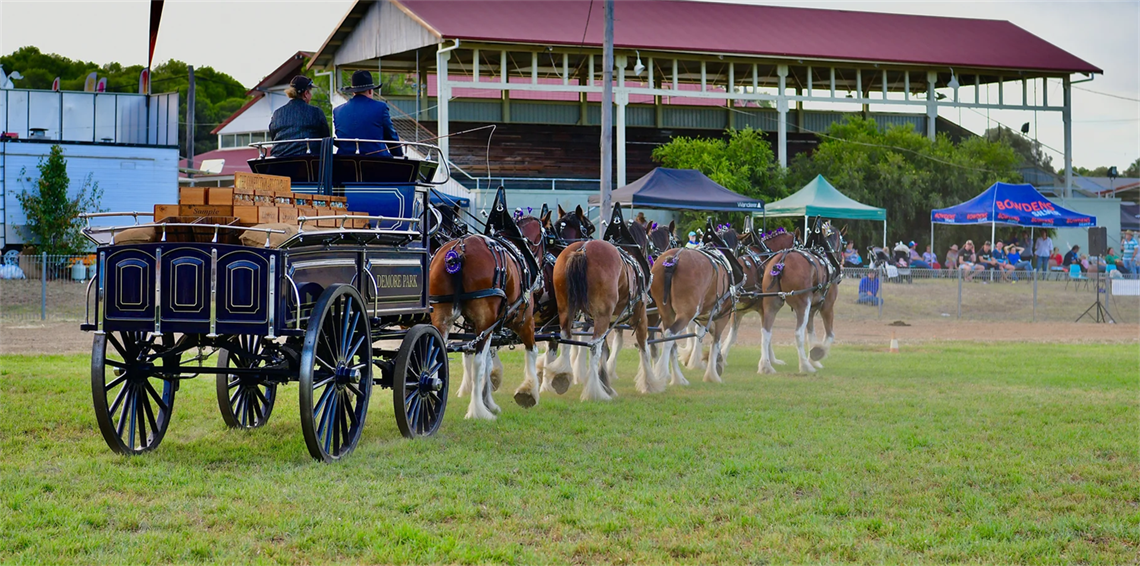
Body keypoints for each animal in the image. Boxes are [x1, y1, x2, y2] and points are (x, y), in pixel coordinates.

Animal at [430, 196, 547, 417]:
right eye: (546, 240)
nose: (542, 282)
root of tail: (458, 251)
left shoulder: (487, 325)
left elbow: (488, 362)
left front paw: (489, 401)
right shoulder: (524, 319)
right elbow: (531, 351)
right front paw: (529, 392)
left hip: (442, 314)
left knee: (435, 354)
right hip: (485, 321)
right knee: (477, 362)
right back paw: (477, 411)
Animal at [540, 205, 665, 399]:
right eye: (590, 227)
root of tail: (582, 250)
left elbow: (605, 351)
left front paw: (605, 382)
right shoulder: (640, 313)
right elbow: (642, 345)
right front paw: (649, 383)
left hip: (567, 310)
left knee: (567, 338)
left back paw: (561, 376)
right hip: (603, 316)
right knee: (593, 346)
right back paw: (594, 391)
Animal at [761, 221, 843, 376]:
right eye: (842, 243)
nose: (842, 260)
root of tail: (782, 260)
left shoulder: (811, 310)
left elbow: (811, 334)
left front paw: (814, 359)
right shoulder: (827, 306)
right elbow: (830, 335)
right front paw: (817, 353)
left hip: (771, 304)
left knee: (766, 332)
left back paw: (766, 366)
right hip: (802, 305)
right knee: (798, 333)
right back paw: (805, 365)